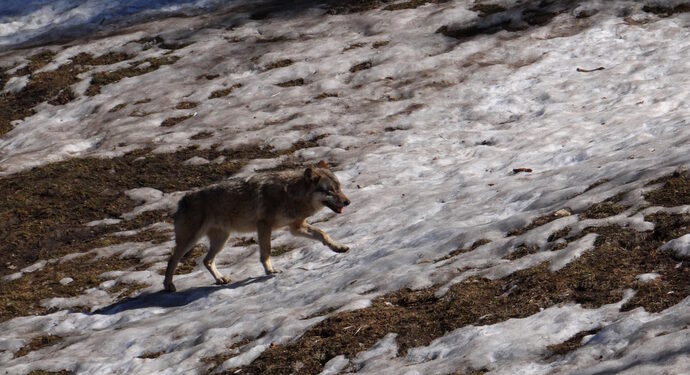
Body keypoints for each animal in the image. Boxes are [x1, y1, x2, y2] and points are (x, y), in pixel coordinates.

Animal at [163, 160, 350, 292]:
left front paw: (338, 247)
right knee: (172, 259)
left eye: (339, 188)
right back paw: (168, 286)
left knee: (207, 260)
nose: (348, 202)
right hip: (190, 241)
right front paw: (270, 271)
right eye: (330, 191)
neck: (290, 194)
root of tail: (182, 199)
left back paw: (220, 279)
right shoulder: (264, 226)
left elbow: (323, 234)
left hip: (221, 240)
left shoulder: (296, 228)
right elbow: (266, 252)